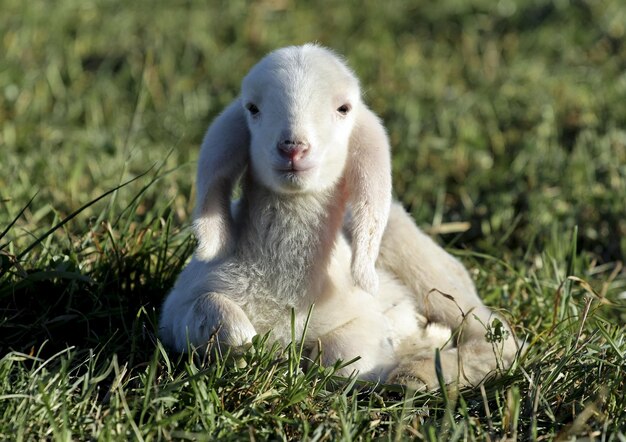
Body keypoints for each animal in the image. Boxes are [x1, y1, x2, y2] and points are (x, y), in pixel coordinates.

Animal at [160, 44, 516, 390]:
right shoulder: (175, 311)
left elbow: (344, 359)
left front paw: (407, 341)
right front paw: (247, 344)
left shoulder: (364, 313)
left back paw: (418, 372)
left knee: (500, 339)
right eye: (252, 108)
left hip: (428, 271)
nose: (293, 147)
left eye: (344, 108)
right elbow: (215, 313)